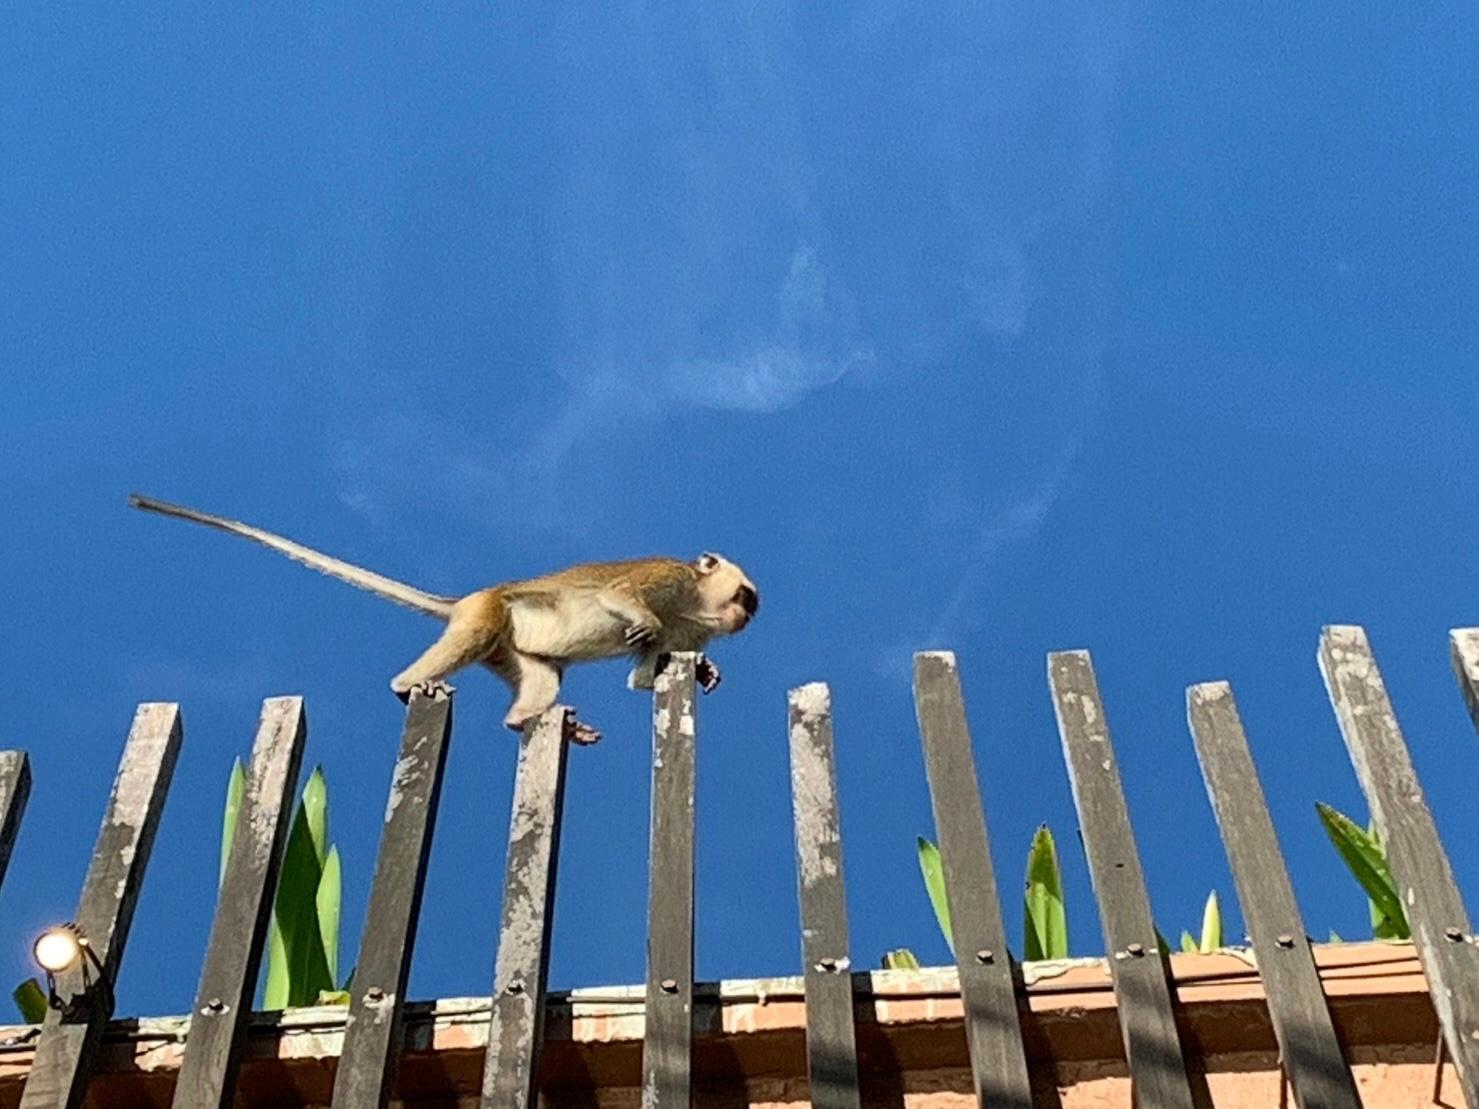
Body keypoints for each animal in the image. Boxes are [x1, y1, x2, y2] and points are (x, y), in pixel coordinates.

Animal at [124, 493, 763, 748]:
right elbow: (620, 595)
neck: (695, 603)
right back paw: (409, 685)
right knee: (476, 634)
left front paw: (697, 668)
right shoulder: (668, 578)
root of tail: (466, 597)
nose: (743, 617)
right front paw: (646, 625)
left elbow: (643, 677)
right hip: (489, 612)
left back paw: (524, 719)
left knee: (541, 674)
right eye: (744, 597)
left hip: (510, 649)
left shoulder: (692, 624)